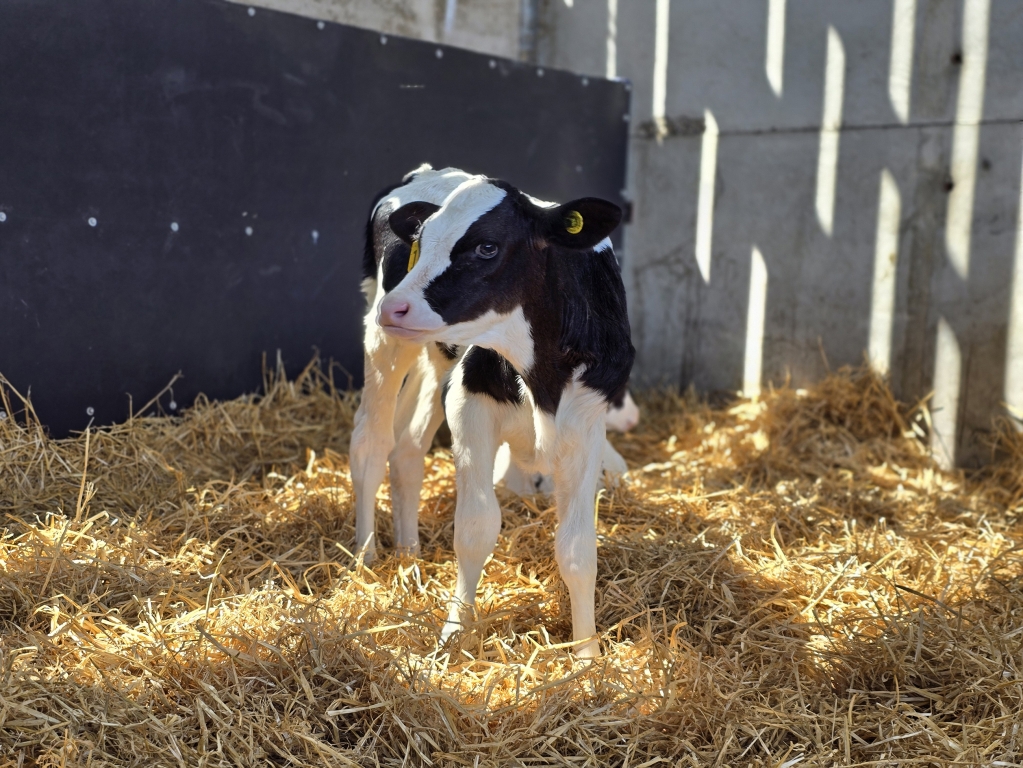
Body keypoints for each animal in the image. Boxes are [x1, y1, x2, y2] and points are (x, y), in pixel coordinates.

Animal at [350, 164, 634, 657]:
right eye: (423, 240)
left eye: (487, 247)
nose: (396, 306)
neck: (542, 378)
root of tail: (429, 170)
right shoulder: (470, 404)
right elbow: (475, 528)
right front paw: (454, 634)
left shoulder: (586, 421)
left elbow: (578, 549)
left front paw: (587, 654)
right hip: (387, 341)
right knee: (371, 441)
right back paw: (369, 558)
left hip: (435, 359)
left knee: (407, 446)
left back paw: (409, 552)